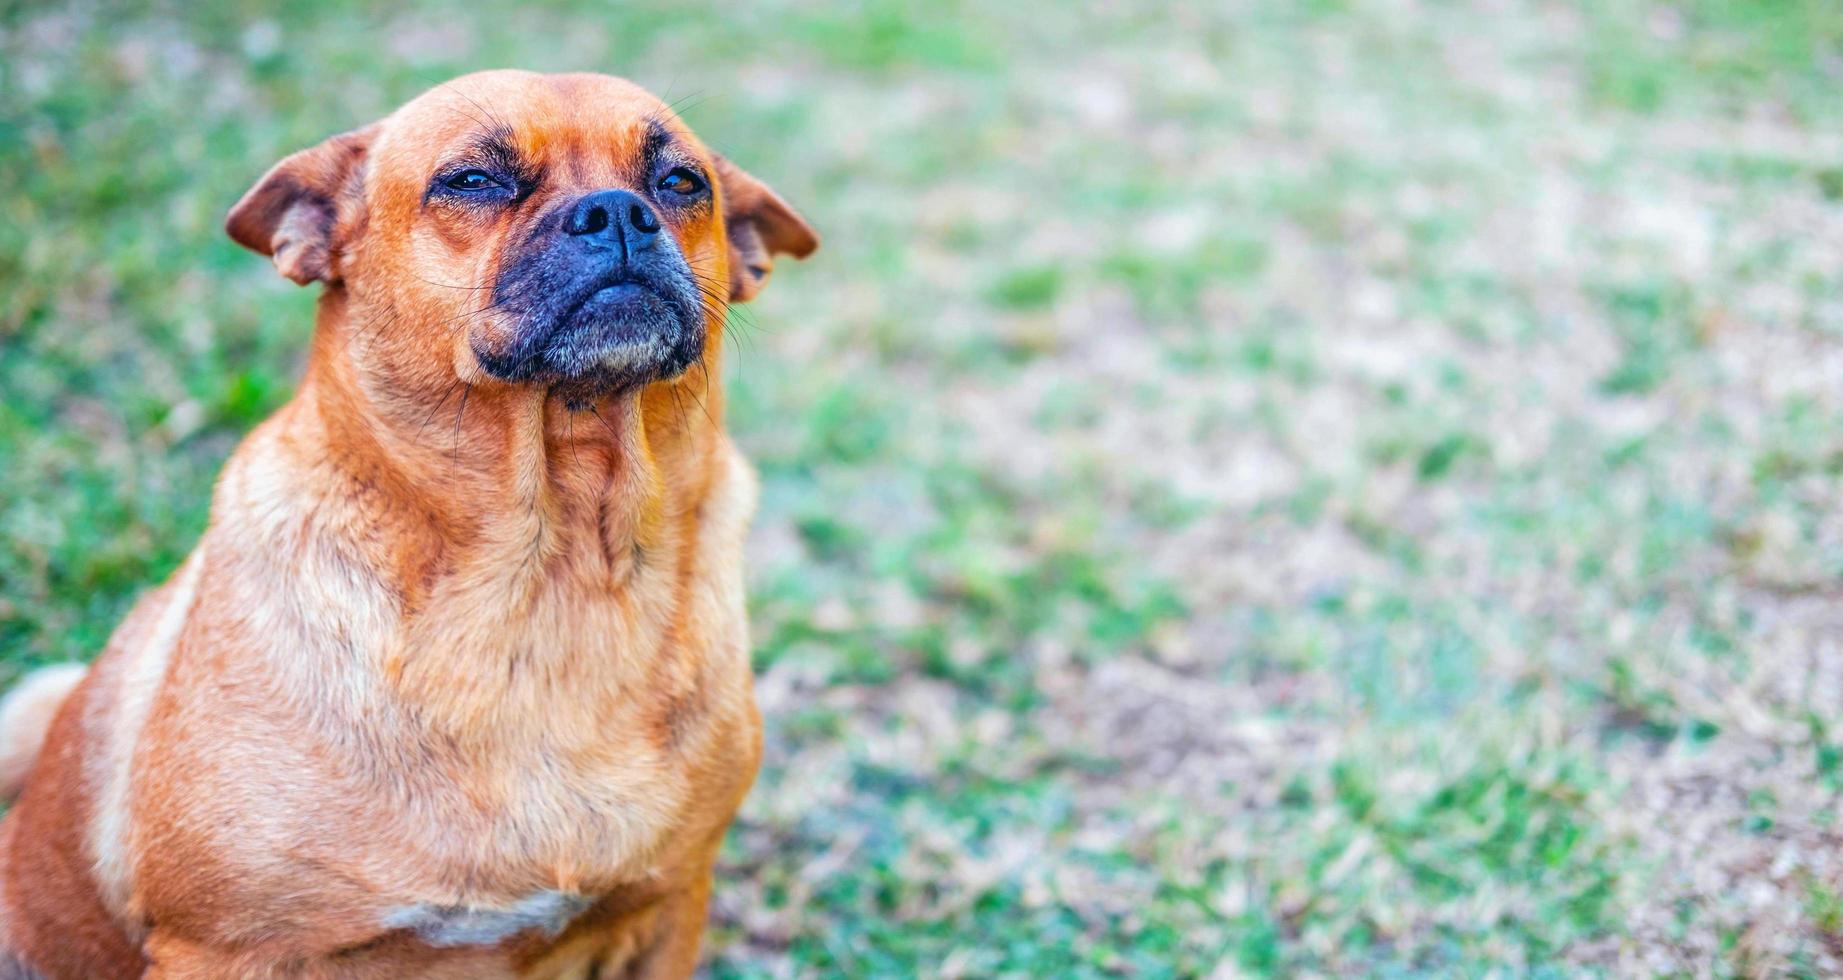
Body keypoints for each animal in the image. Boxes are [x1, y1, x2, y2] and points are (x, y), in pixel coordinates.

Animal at [0, 70, 814, 980]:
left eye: (680, 184)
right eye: (473, 180)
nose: (618, 212)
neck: (552, 568)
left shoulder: (668, 911)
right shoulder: (223, 949)